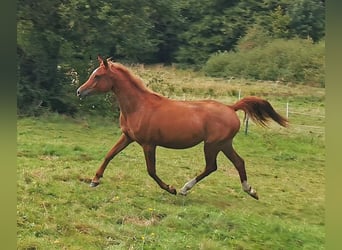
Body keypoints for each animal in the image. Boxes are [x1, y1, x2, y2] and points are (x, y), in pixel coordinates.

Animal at [76, 56, 288, 199]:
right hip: (224, 144)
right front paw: (95, 180)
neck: (139, 106)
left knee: (212, 166)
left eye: (98, 76)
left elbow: (151, 170)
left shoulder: (148, 144)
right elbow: (109, 155)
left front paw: (171, 188)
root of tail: (231, 107)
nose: (79, 91)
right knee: (239, 162)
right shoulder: (127, 137)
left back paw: (185, 189)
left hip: (212, 145)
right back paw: (250, 190)